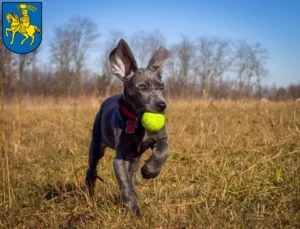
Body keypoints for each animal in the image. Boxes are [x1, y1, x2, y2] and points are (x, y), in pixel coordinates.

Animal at [85, 38, 171, 216]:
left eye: (161, 86)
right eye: (142, 87)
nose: (162, 105)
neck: (138, 122)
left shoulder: (161, 138)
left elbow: (162, 152)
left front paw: (149, 171)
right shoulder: (120, 158)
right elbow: (124, 184)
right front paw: (133, 209)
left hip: (134, 158)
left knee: (131, 174)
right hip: (96, 146)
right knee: (92, 169)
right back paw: (90, 192)